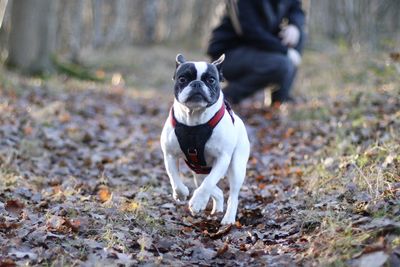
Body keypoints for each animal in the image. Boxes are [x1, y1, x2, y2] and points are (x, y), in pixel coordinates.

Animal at [160, 53, 250, 225]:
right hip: (199, 170)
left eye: (211, 80)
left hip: (236, 167)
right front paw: (181, 194)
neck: (194, 120)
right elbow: (174, 178)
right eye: (183, 79)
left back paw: (228, 218)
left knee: (232, 194)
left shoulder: (222, 158)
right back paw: (217, 208)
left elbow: (209, 183)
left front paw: (197, 202)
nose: (197, 84)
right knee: (214, 188)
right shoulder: (170, 155)